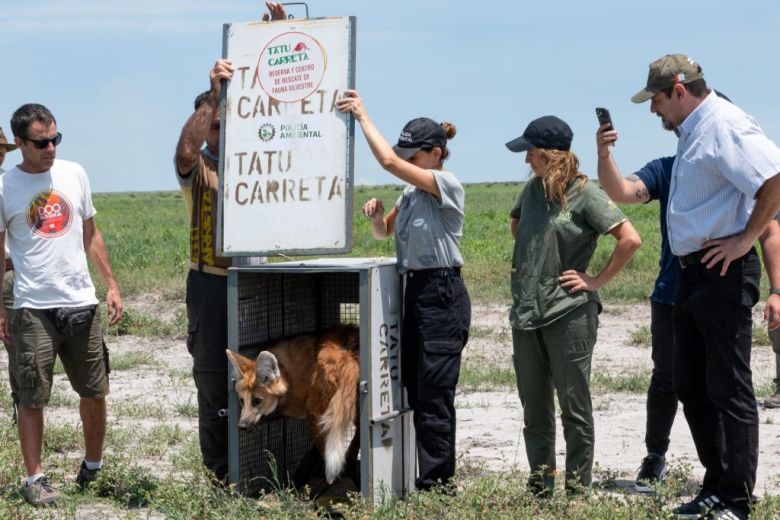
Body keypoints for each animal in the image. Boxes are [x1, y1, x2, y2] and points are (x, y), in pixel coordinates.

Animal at [225, 324, 360, 484]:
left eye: (257, 400)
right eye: (242, 400)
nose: (242, 426)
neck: (290, 377)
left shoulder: (312, 413)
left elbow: (322, 450)